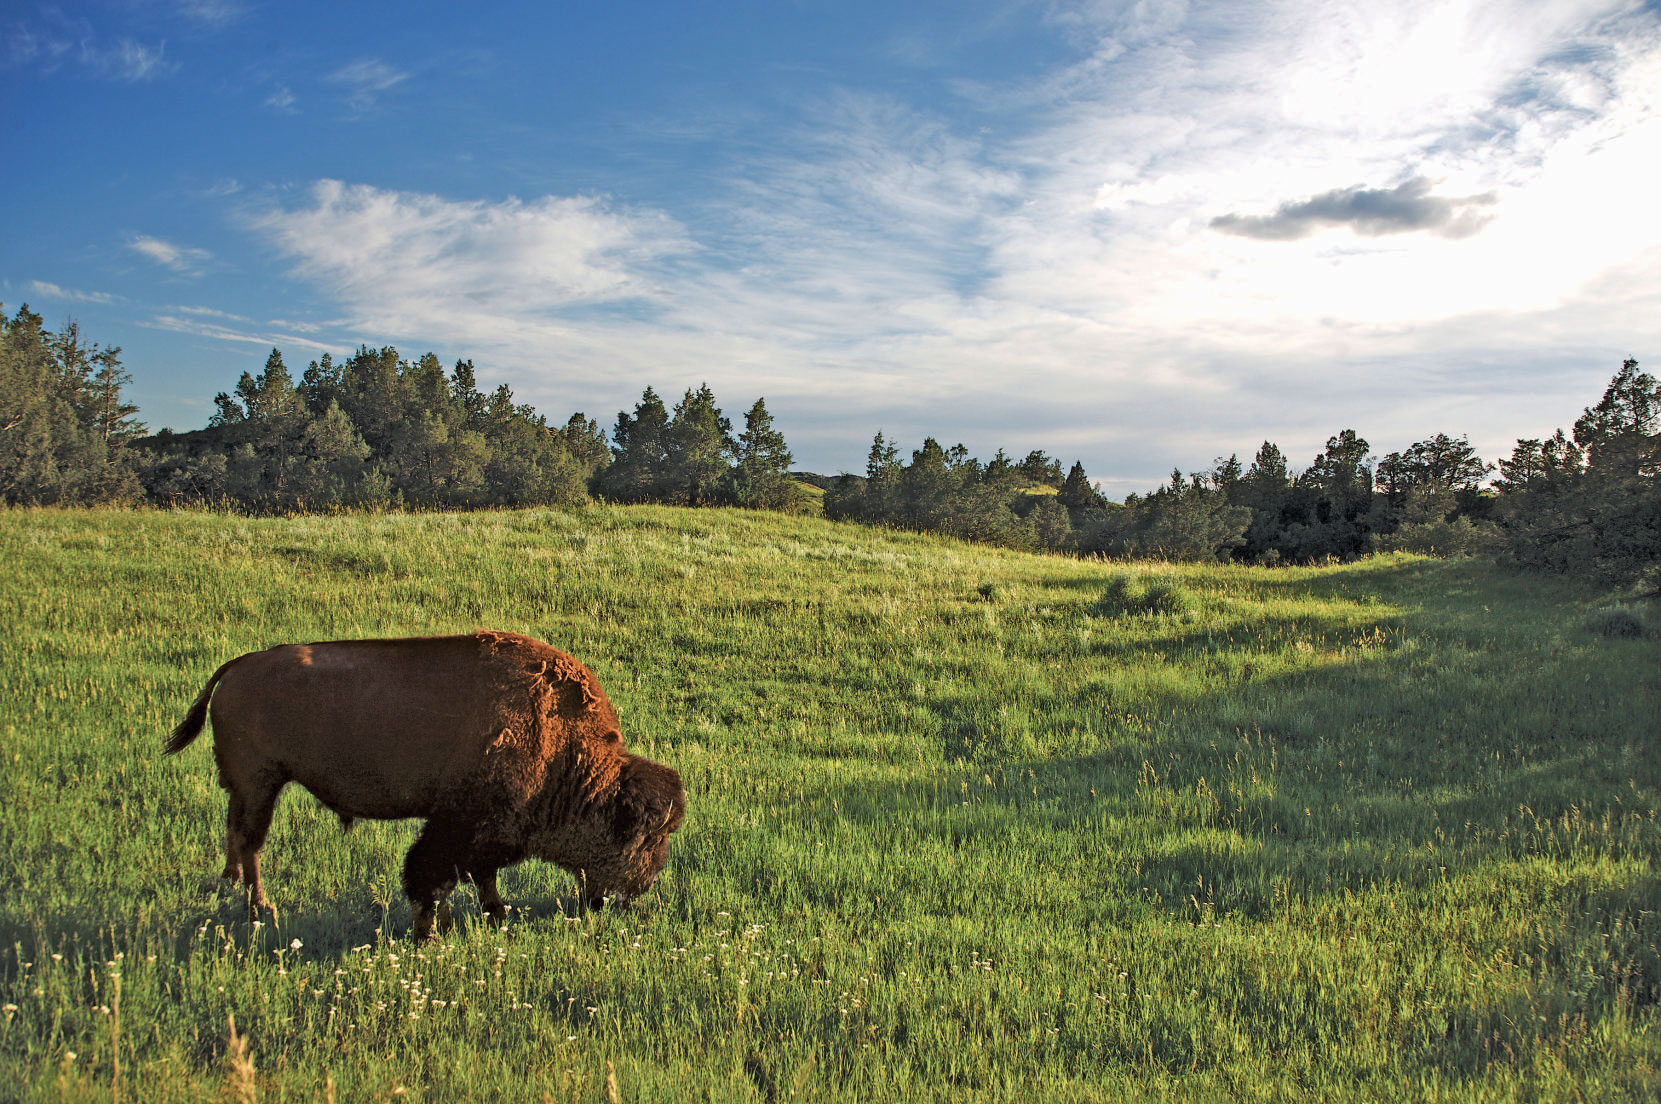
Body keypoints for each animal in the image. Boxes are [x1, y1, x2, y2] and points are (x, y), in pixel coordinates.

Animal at [165, 627, 684, 936]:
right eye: (647, 837)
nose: (646, 884)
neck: (566, 748)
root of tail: (238, 666)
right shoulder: (458, 824)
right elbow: (432, 877)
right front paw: (428, 934)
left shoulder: (486, 832)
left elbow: (482, 876)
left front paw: (497, 914)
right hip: (261, 784)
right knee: (251, 841)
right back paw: (261, 910)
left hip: (248, 787)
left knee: (235, 832)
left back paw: (232, 886)